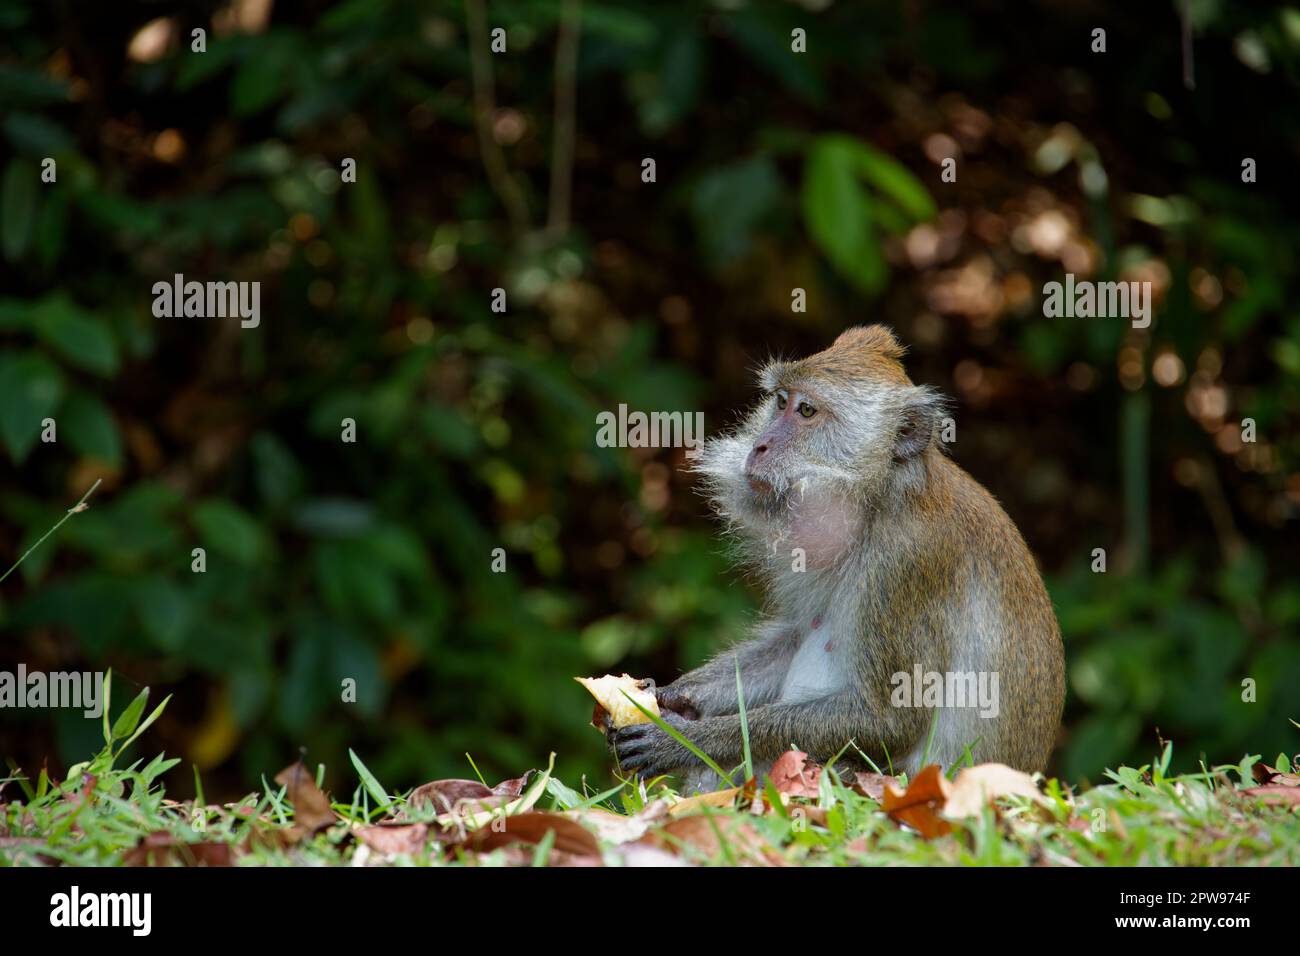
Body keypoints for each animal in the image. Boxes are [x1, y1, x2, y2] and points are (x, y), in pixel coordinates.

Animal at [608, 325, 1066, 790]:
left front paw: (681, 739)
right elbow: (796, 634)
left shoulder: (904, 563)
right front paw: (667, 696)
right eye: (780, 402)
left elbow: (889, 719)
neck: (879, 499)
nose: (760, 446)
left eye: (807, 410)